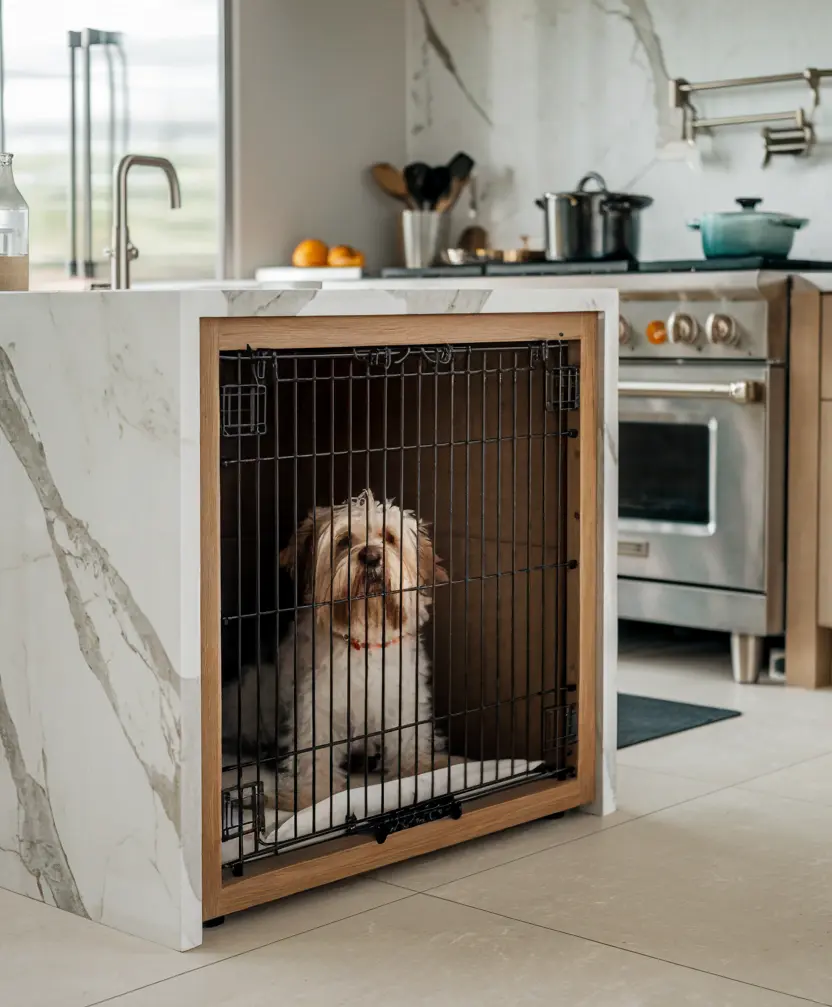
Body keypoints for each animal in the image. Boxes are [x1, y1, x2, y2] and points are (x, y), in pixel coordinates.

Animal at [221, 491, 447, 813]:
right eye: (344, 540)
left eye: (389, 538)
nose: (371, 556)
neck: (364, 640)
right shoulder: (317, 705)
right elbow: (312, 753)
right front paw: (308, 796)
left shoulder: (403, 697)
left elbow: (409, 738)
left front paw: (421, 769)